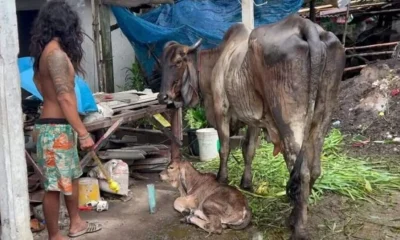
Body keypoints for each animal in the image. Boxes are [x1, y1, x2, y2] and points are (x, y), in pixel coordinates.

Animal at [158, 14, 346, 239]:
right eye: (161, 64)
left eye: (178, 62)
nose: (163, 96)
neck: (217, 61)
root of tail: (305, 25)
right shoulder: (255, 120)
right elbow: (249, 150)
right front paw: (246, 183)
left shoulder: (222, 110)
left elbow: (225, 149)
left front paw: (222, 179)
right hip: (322, 118)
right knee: (314, 168)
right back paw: (295, 215)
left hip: (290, 122)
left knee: (302, 172)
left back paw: (297, 227)